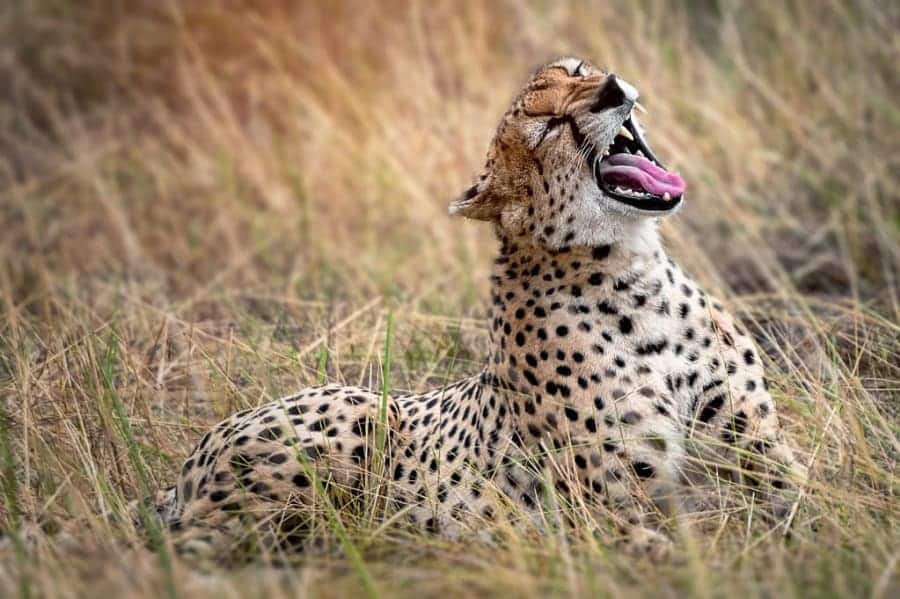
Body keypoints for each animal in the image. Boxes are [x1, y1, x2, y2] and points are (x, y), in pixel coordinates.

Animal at [144, 57, 804, 564]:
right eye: (549, 127)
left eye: (578, 71)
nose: (613, 89)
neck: (634, 277)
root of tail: (188, 466)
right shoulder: (610, 503)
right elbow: (663, 536)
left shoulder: (753, 444)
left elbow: (802, 491)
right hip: (352, 421)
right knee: (213, 539)